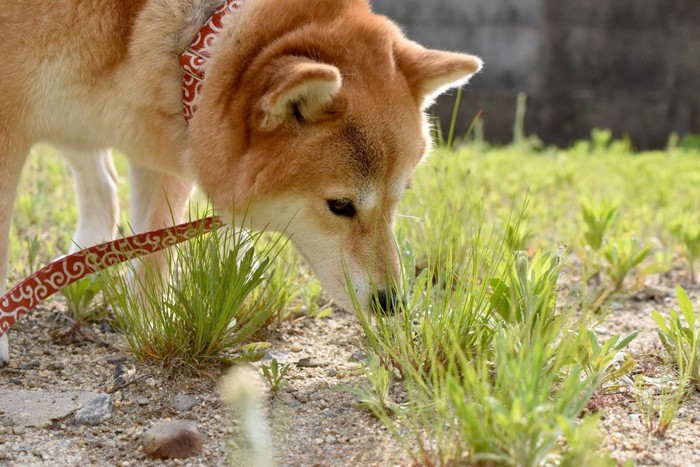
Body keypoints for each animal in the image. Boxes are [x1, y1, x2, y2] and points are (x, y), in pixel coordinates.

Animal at [0, 0, 482, 366]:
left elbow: (154, 260)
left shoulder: (160, 148)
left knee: (103, 188)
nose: (392, 304)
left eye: (396, 201)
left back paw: (80, 270)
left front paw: (149, 329)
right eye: (340, 205)